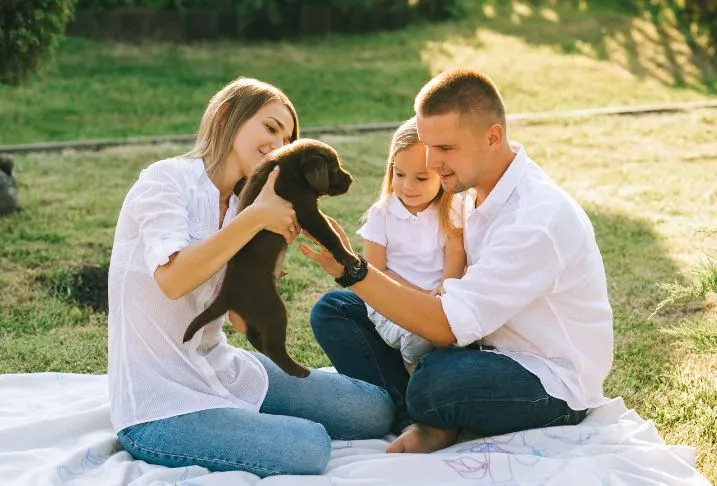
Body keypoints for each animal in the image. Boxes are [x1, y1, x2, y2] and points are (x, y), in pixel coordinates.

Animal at [182, 139, 356, 378]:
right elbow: (330, 235)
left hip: (256, 315)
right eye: (335, 167)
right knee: (272, 345)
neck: (292, 171)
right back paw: (299, 370)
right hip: (272, 309)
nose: (351, 179)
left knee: (256, 338)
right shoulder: (307, 212)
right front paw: (350, 258)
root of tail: (227, 293)